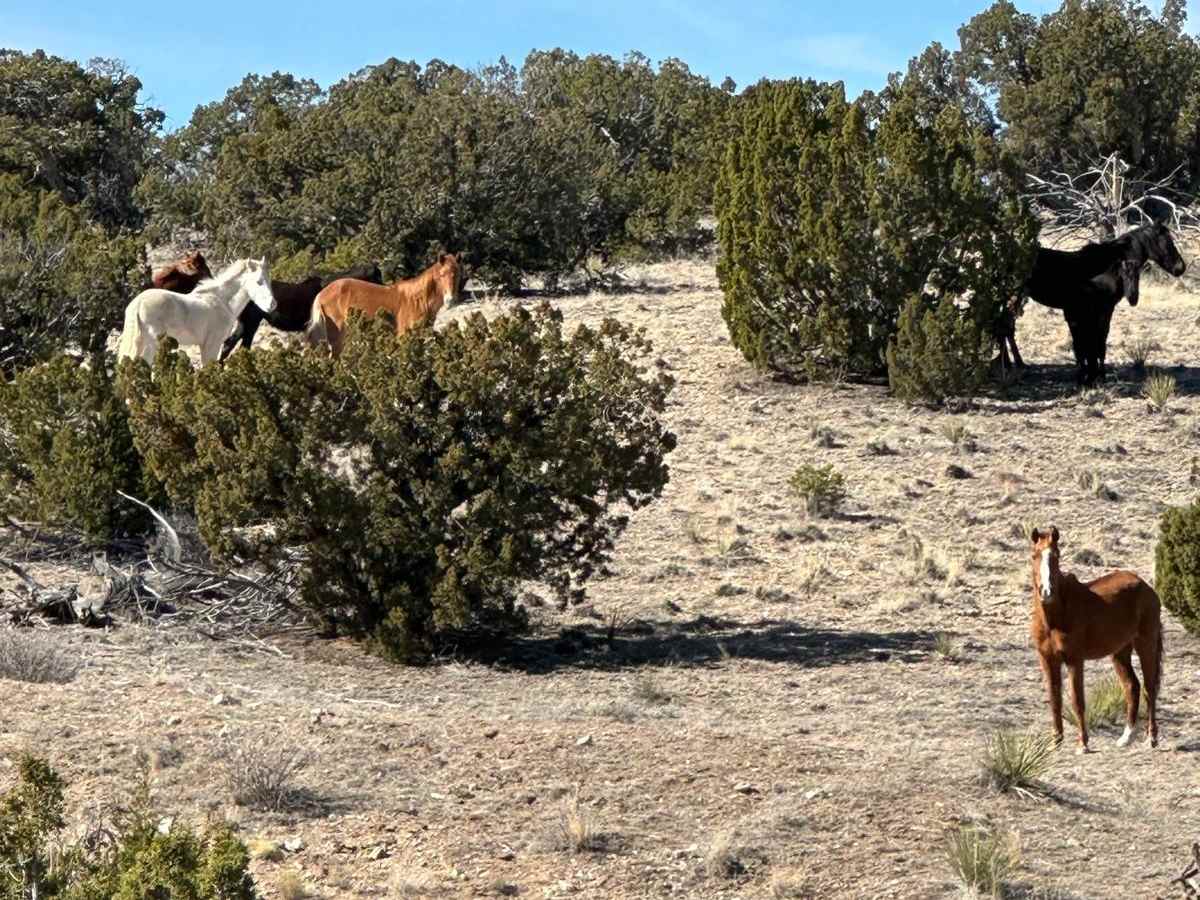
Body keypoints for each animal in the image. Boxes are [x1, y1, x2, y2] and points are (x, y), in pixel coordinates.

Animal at [117, 258, 276, 365]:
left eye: (269, 280)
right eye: (258, 282)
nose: (272, 305)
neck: (222, 301)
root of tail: (137, 304)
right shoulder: (212, 345)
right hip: (150, 344)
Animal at [306, 254, 461, 357]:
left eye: (457, 274)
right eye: (442, 275)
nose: (450, 299)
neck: (417, 300)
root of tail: (322, 293)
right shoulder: (403, 337)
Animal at [1028, 526, 1163, 753]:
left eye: (1056, 555)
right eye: (1034, 555)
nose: (1047, 591)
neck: (1054, 618)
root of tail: (1145, 587)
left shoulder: (1074, 660)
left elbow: (1077, 700)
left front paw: (1083, 744)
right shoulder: (1047, 659)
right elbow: (1054, 699)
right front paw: (1056, 742)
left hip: (1146, 644)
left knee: (1149, 688)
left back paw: (1151, 739)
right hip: (1120, 652)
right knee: (1132, 687)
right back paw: (1126, 737)